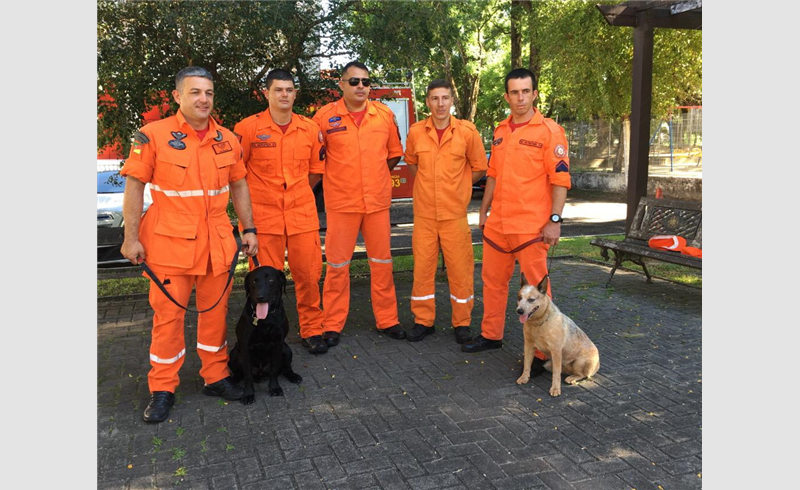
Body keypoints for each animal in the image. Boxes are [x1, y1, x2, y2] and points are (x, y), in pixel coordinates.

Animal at [228, 266, 304, 404]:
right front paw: (248, 394)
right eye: (254, 281)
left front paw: (274, 388)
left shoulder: (278, 344)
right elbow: (247, 376)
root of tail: (261, 373)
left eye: (270, 280)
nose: (260, 297)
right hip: (234, 353)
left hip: (287, 349)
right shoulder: (245, 346)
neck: (266, 318)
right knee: (241, 373)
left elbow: (274, 371)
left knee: (286, 368)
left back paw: (293, 376)